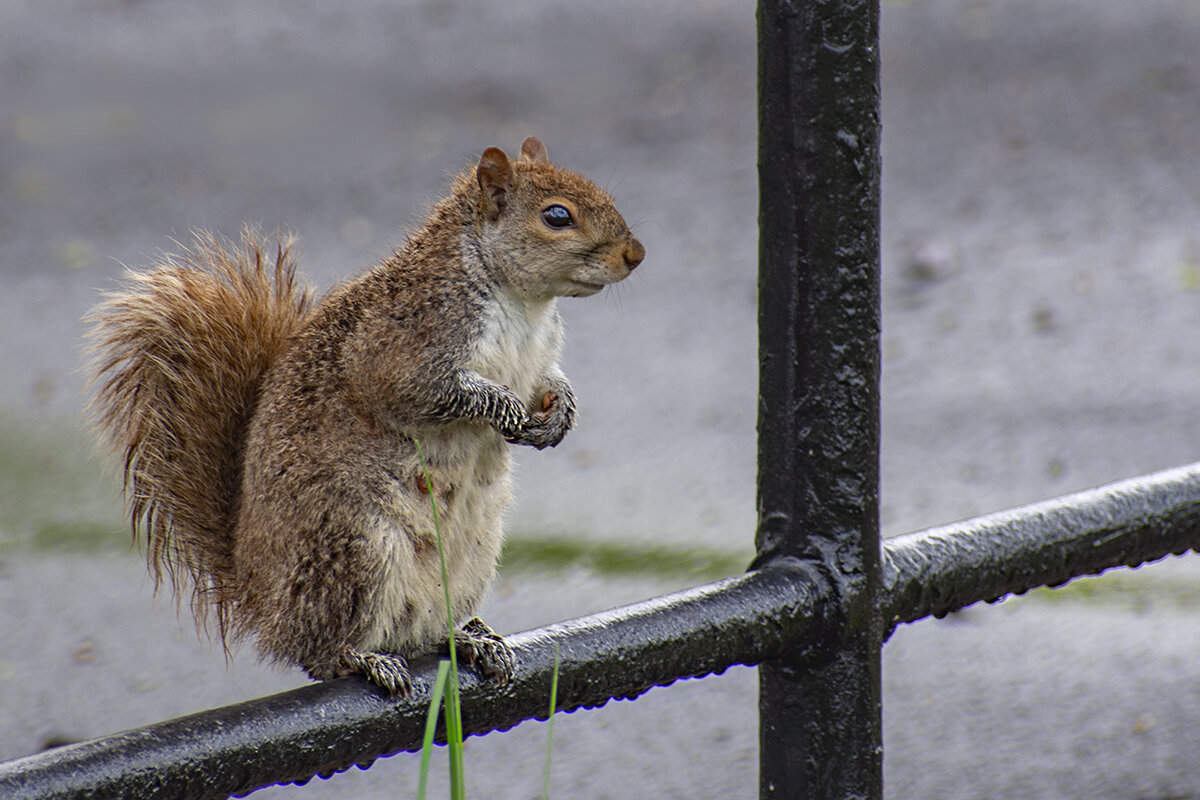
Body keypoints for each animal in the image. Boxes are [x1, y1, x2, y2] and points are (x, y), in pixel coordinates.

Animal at [87, 140, 643, 695]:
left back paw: (468, 638)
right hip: (358, 548)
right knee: (321, 654)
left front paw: (559, 413)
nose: (634, 255)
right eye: (557, 216)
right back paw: (365, 658)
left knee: (423, 631)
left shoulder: (538, 360)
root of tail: (262, 600)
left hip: (471, 557)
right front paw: (502, 406)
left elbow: (550, 382)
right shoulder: (402, 346)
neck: (524, 304)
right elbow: (426, 393)